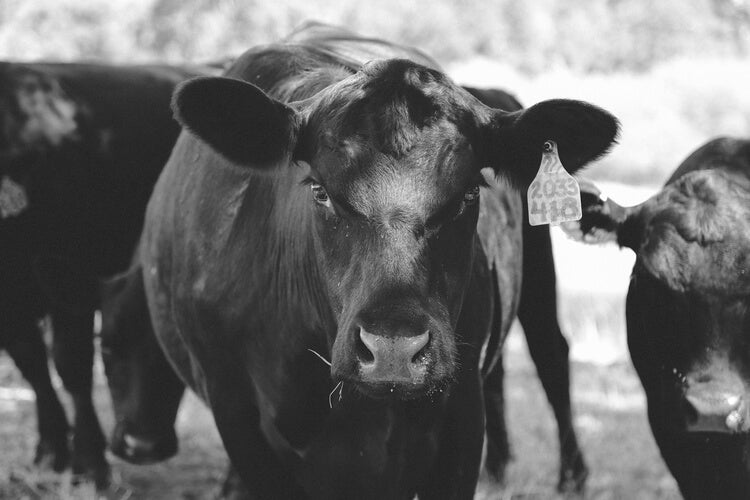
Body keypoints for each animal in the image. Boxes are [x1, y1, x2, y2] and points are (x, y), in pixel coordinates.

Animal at [0, 62, 209, 487]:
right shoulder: (13, 300)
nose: (142, 445)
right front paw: (50, 452)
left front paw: (90, 462)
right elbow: (33, 367)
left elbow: (71, 366)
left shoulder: (70, 290)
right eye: (109, 348)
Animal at [122, 22, 618, 498]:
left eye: (469, 193)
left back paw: (571, 476)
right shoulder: (237, 415)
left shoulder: (461, 415)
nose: (393, 350)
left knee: (550, 352)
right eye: (320, 191)